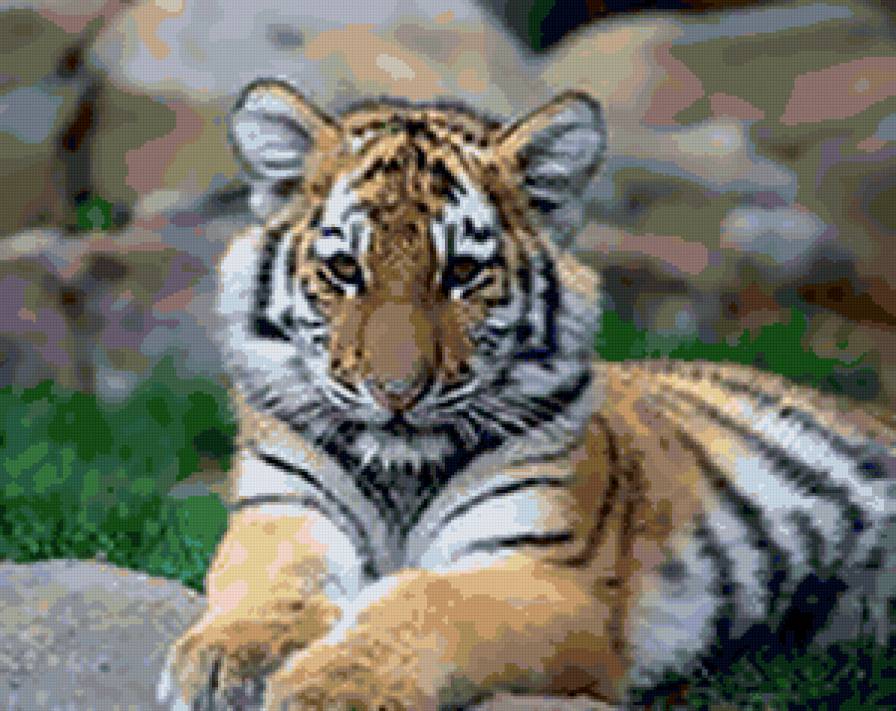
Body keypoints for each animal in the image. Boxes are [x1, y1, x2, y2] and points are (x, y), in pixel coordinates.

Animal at [157, 78, 896, 711]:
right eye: (344, 270)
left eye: (461, 273)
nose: (396, 393)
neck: (401, 475)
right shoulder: (284, 508)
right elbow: (273, 582)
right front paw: (226, 657)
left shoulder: (547, 573)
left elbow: (427, 605)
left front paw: (335, 687)